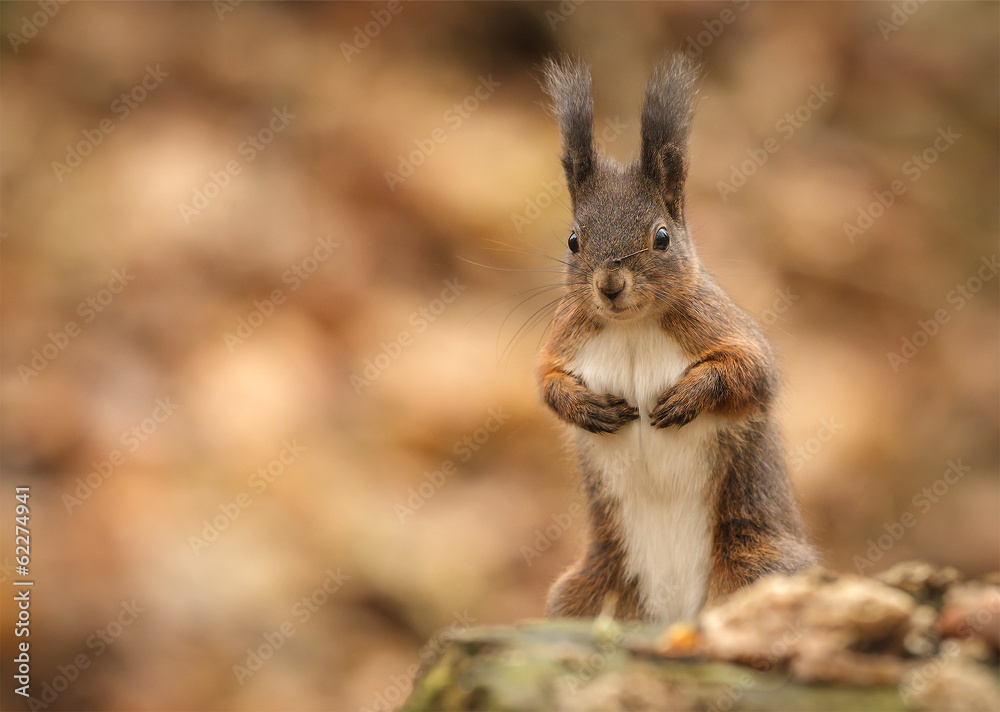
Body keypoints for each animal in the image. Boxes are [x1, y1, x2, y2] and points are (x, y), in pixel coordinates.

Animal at [537, 55, 816, 624]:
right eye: (574, 240)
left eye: (662, 237)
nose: (610, 284)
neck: (631, 328)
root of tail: (675, 614)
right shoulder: (564, 339)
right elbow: (546, 381)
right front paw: (585, 408)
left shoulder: (719, 325)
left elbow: (753, 372)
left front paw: (689, 397)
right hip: (589, 588)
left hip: (759, 564)